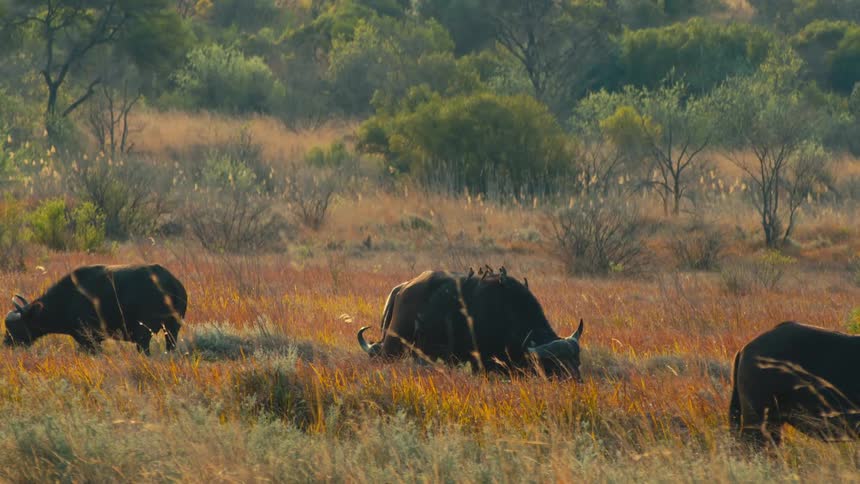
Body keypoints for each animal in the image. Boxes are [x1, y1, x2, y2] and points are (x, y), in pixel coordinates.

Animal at [4, 264, 187, 355]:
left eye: (15, 326)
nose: (6, 343)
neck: (69, 297)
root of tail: (171, 282)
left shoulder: (90, 339)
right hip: (171, 329)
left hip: (144, 333)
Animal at [357, 268, 585, 379]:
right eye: (556, 364)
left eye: (576, 360)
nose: (576, 380)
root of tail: (403, 288)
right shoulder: (482, 363)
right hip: (393, 345)